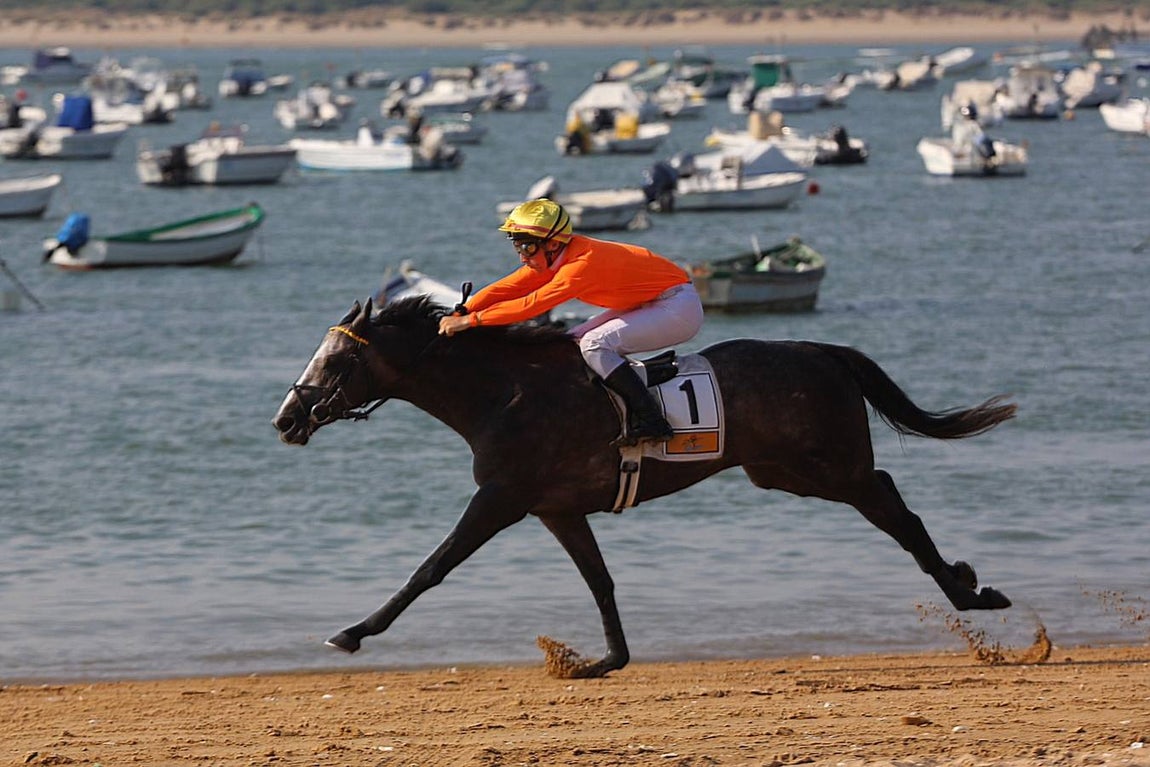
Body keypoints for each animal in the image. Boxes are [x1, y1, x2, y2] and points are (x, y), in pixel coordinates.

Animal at [273, 296, 1017, 678]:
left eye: (335, 361)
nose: (285, 418)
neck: (502, 392)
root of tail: (821, 350)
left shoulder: (501, 498)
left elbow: (431, 567)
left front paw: (353, 632)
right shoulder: (555, 508)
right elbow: (599, 580)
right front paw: (606, 658)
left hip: (827, 467)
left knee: (893, 503)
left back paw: (970, 590)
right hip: (782, 470)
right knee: (889, 497)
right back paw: (968, 584)